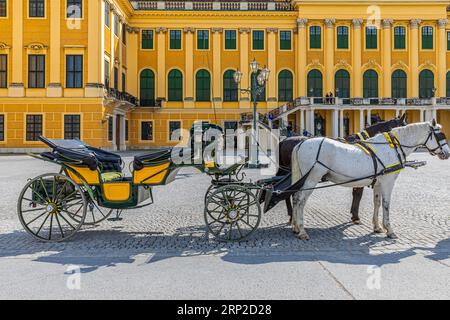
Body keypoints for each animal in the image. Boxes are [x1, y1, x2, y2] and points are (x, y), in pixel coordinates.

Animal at [290, 120, 448, 240]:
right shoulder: (388, 182)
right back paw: (302, 231)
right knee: (301, 200)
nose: (447, 153)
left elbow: (377, 203)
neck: (392, 147)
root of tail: (302, 143)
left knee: (296, 198)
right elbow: (386, 204)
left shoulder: (378, 183)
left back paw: (296, 227)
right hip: (312, 179)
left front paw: (377, 227)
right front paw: (389, 230)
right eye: (440, 135)